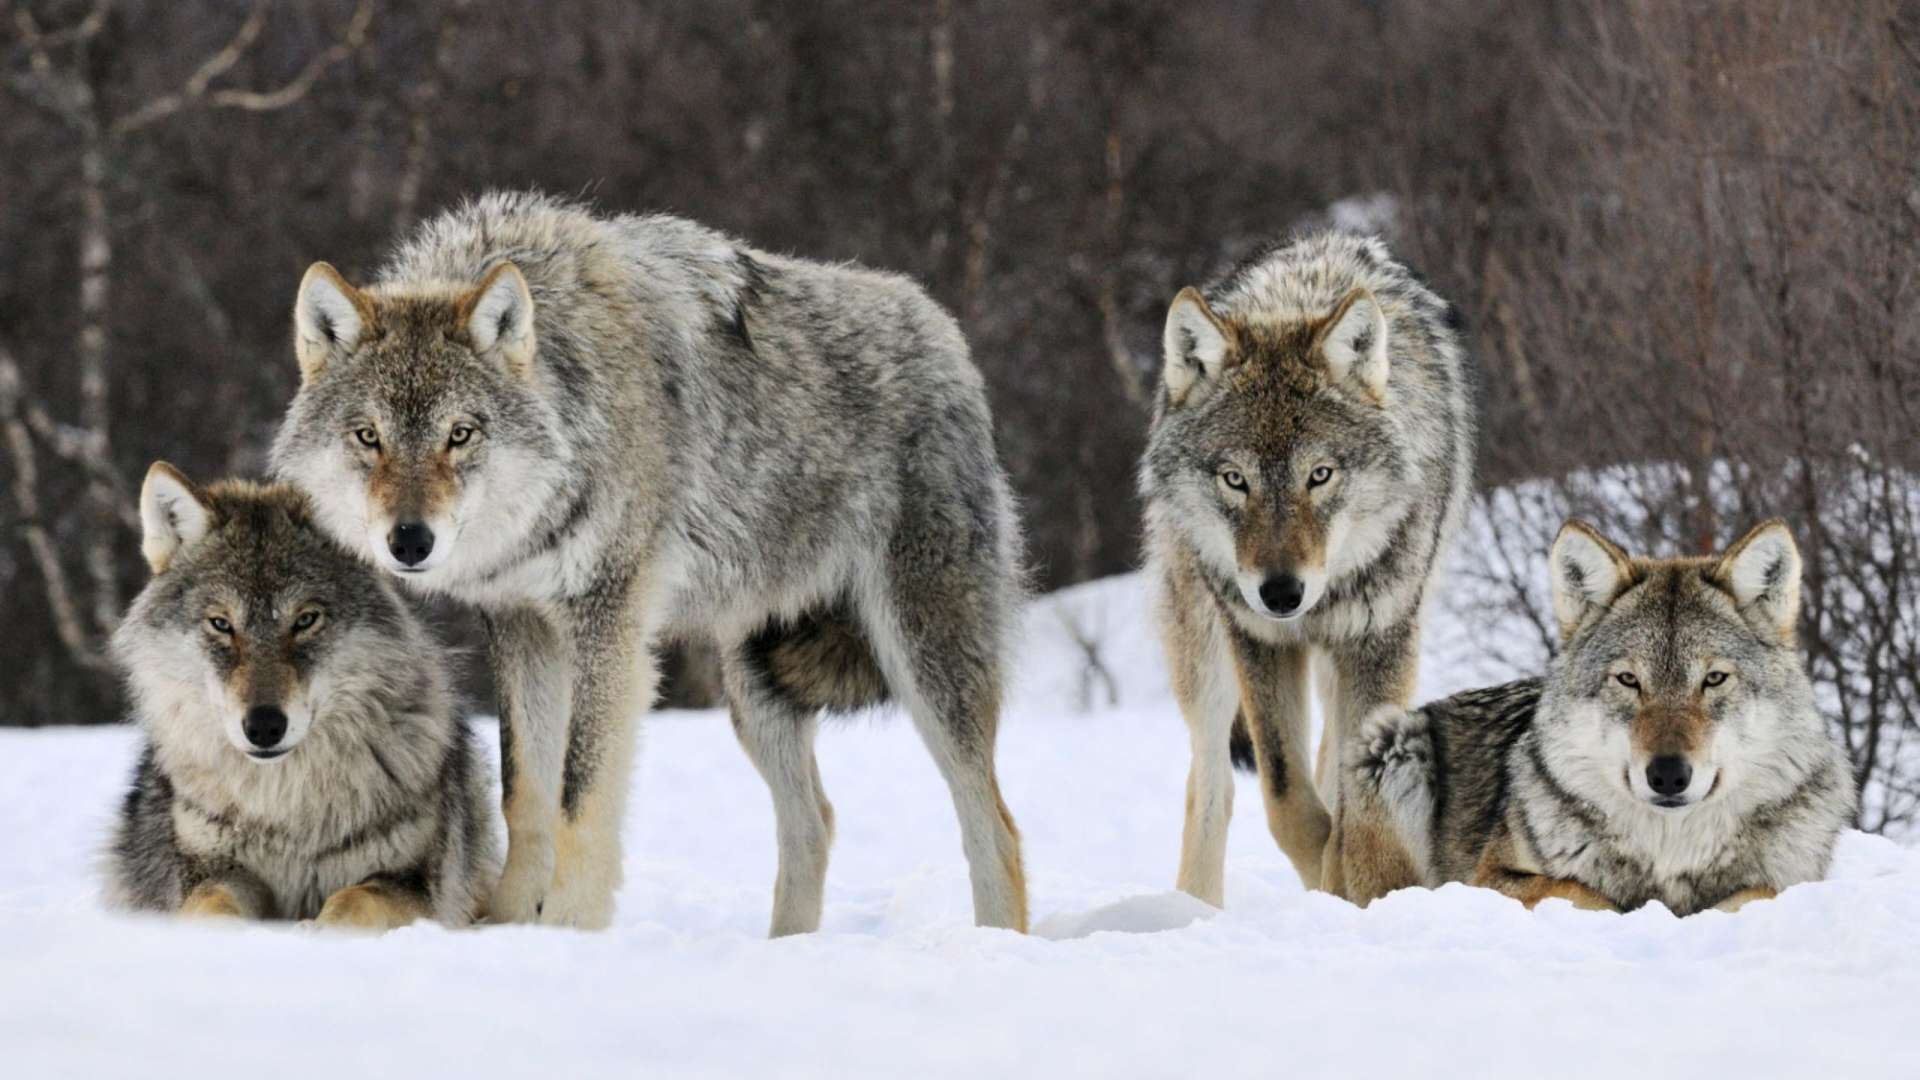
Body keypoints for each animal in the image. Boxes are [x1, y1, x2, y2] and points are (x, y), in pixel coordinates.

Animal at [106, 463, 499, 926]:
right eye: (221, 624)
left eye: (306, 620)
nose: (264, 726)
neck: (286, 809)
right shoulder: (212, 871)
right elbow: (212, 906)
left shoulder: (411, 883)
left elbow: (353, 900)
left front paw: (318, 931)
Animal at [266, 189, 1036, 930]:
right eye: (368, 436)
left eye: (460, 434)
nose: (409, 541)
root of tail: (943, 330)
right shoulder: (522, 625)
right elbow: (525, 793)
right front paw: (509, 925)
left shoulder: (608, 623)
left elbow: (579, 796)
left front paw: (568, 930)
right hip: (756, 688)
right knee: (813, 823)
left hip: (923, 661)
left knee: (995, 827)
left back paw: (993, 944)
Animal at [1136, 233, 1466, 899]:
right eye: (1235, 479)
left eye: (1320, 475)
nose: (1282, 593)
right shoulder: (1259, 640)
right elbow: (1287, 799)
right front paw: (1328, 880)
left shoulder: (1381, 640)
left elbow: (1352, 800)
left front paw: (1355, 882)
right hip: (1204, 651)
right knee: (1210, 782)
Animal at [1351, 518, 1858, 910]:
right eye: (1629, 680)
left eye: (1713, 679)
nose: (1668, 775)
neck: (1670, 853)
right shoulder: (1491, 878)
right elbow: (1586, 893)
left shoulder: (1791, 881)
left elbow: (1758, 893)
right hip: (1391, 742)